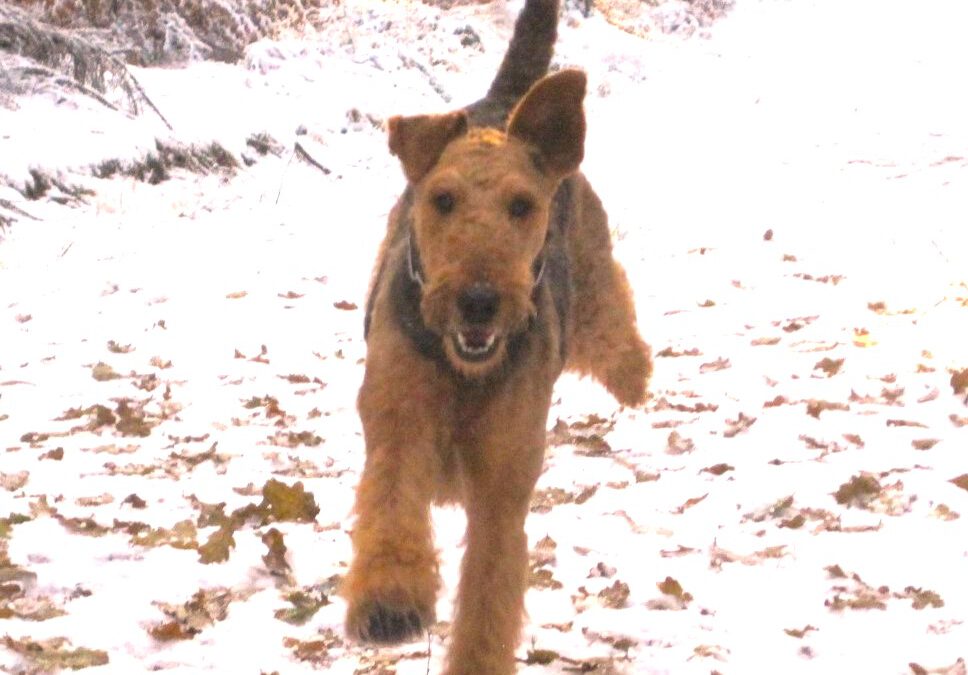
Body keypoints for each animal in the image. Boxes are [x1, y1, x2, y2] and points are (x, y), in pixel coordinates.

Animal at [344, 1, 656, 672]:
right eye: (442, 199)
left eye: (521, 206)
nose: (479, 301)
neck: (463, 371)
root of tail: (505, 101)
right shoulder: (397, 425)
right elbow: (390, 506)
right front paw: (389, 602)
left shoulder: (502, 487)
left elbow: (488, 600)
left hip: (589, 287)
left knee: (613, 317)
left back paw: (635, 376)